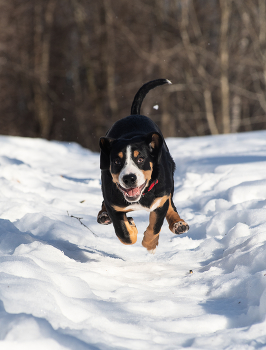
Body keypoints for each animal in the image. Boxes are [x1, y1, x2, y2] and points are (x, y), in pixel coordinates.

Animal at [97, 78, 189, 252]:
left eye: (140, 159)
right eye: (117, 161)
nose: (129, 178)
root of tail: (134, 115)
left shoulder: (160, 199)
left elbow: (156, 225)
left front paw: (150, 243)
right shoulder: (114, 204)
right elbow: (124, 233)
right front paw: (131, 227)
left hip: (169, 182)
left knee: (171, 205)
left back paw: (178, 224)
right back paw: (103, 215)